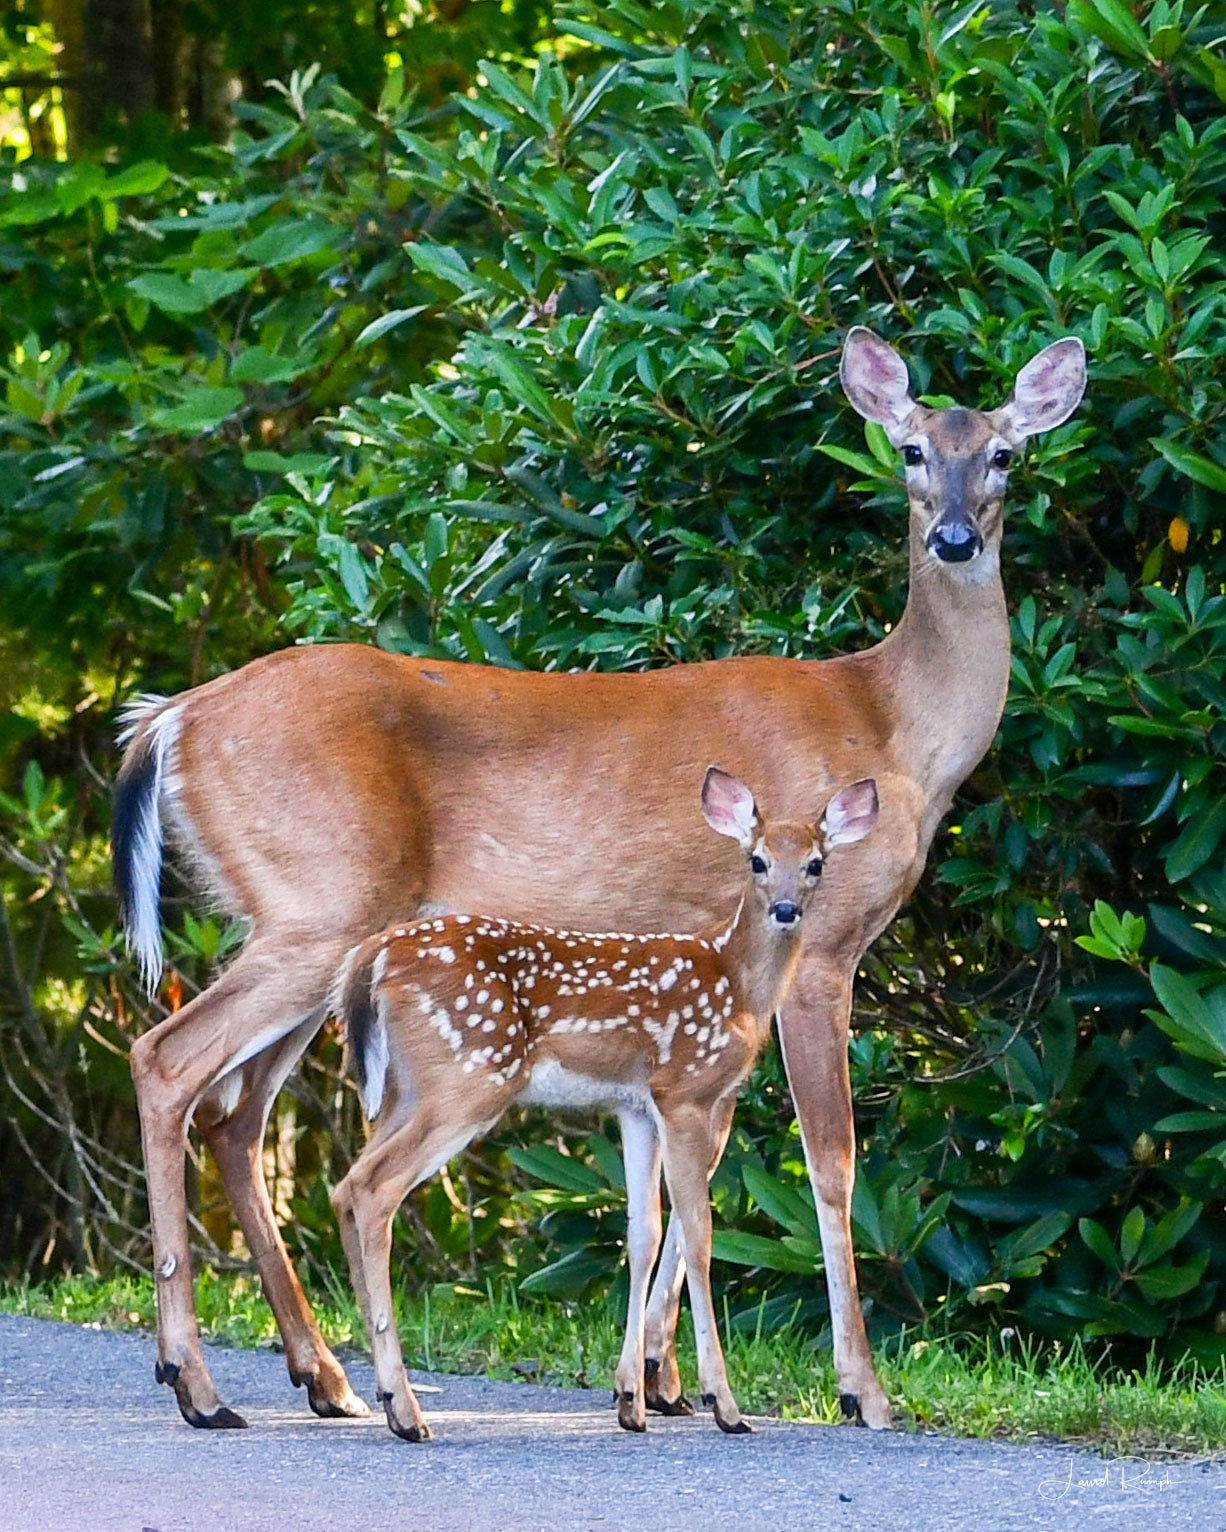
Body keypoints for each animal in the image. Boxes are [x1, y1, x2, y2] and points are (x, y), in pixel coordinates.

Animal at [332, 769, 879, 1441]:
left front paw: (630, 1402)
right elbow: (700, 1235)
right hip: (469, 1076)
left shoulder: (635, 1106)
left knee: (346, 1186)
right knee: (372, 1190)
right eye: (756, 860)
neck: (737, 984)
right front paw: (724, 1405)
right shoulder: (684, 1090)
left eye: (815, 863)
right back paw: (406, 1411)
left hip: (406, 1090)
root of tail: (370, 960)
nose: (785, 909)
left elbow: (643, 1232)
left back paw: (381, 1393)